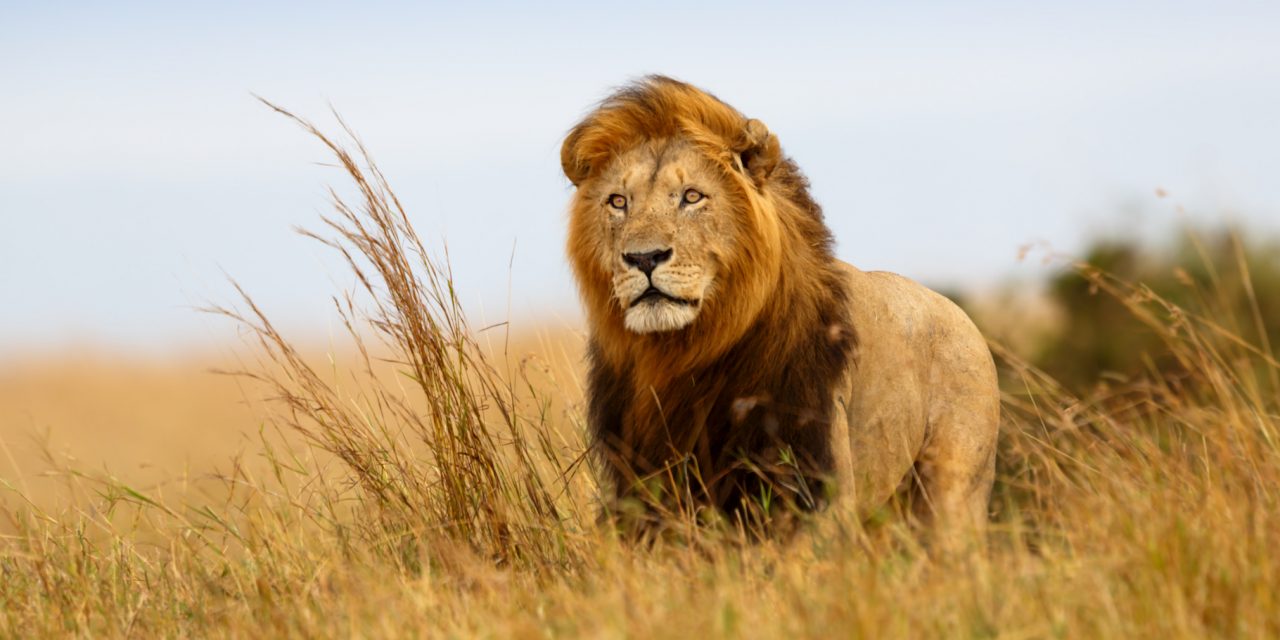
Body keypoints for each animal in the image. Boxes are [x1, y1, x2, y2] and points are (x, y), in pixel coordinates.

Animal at [561, 76, 999, 541]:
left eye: (692, 197)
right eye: (618, 202)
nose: (644, 258)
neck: (683, 353)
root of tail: (962, 317)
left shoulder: (814, 480)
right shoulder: (642, 483)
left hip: (954, 492)